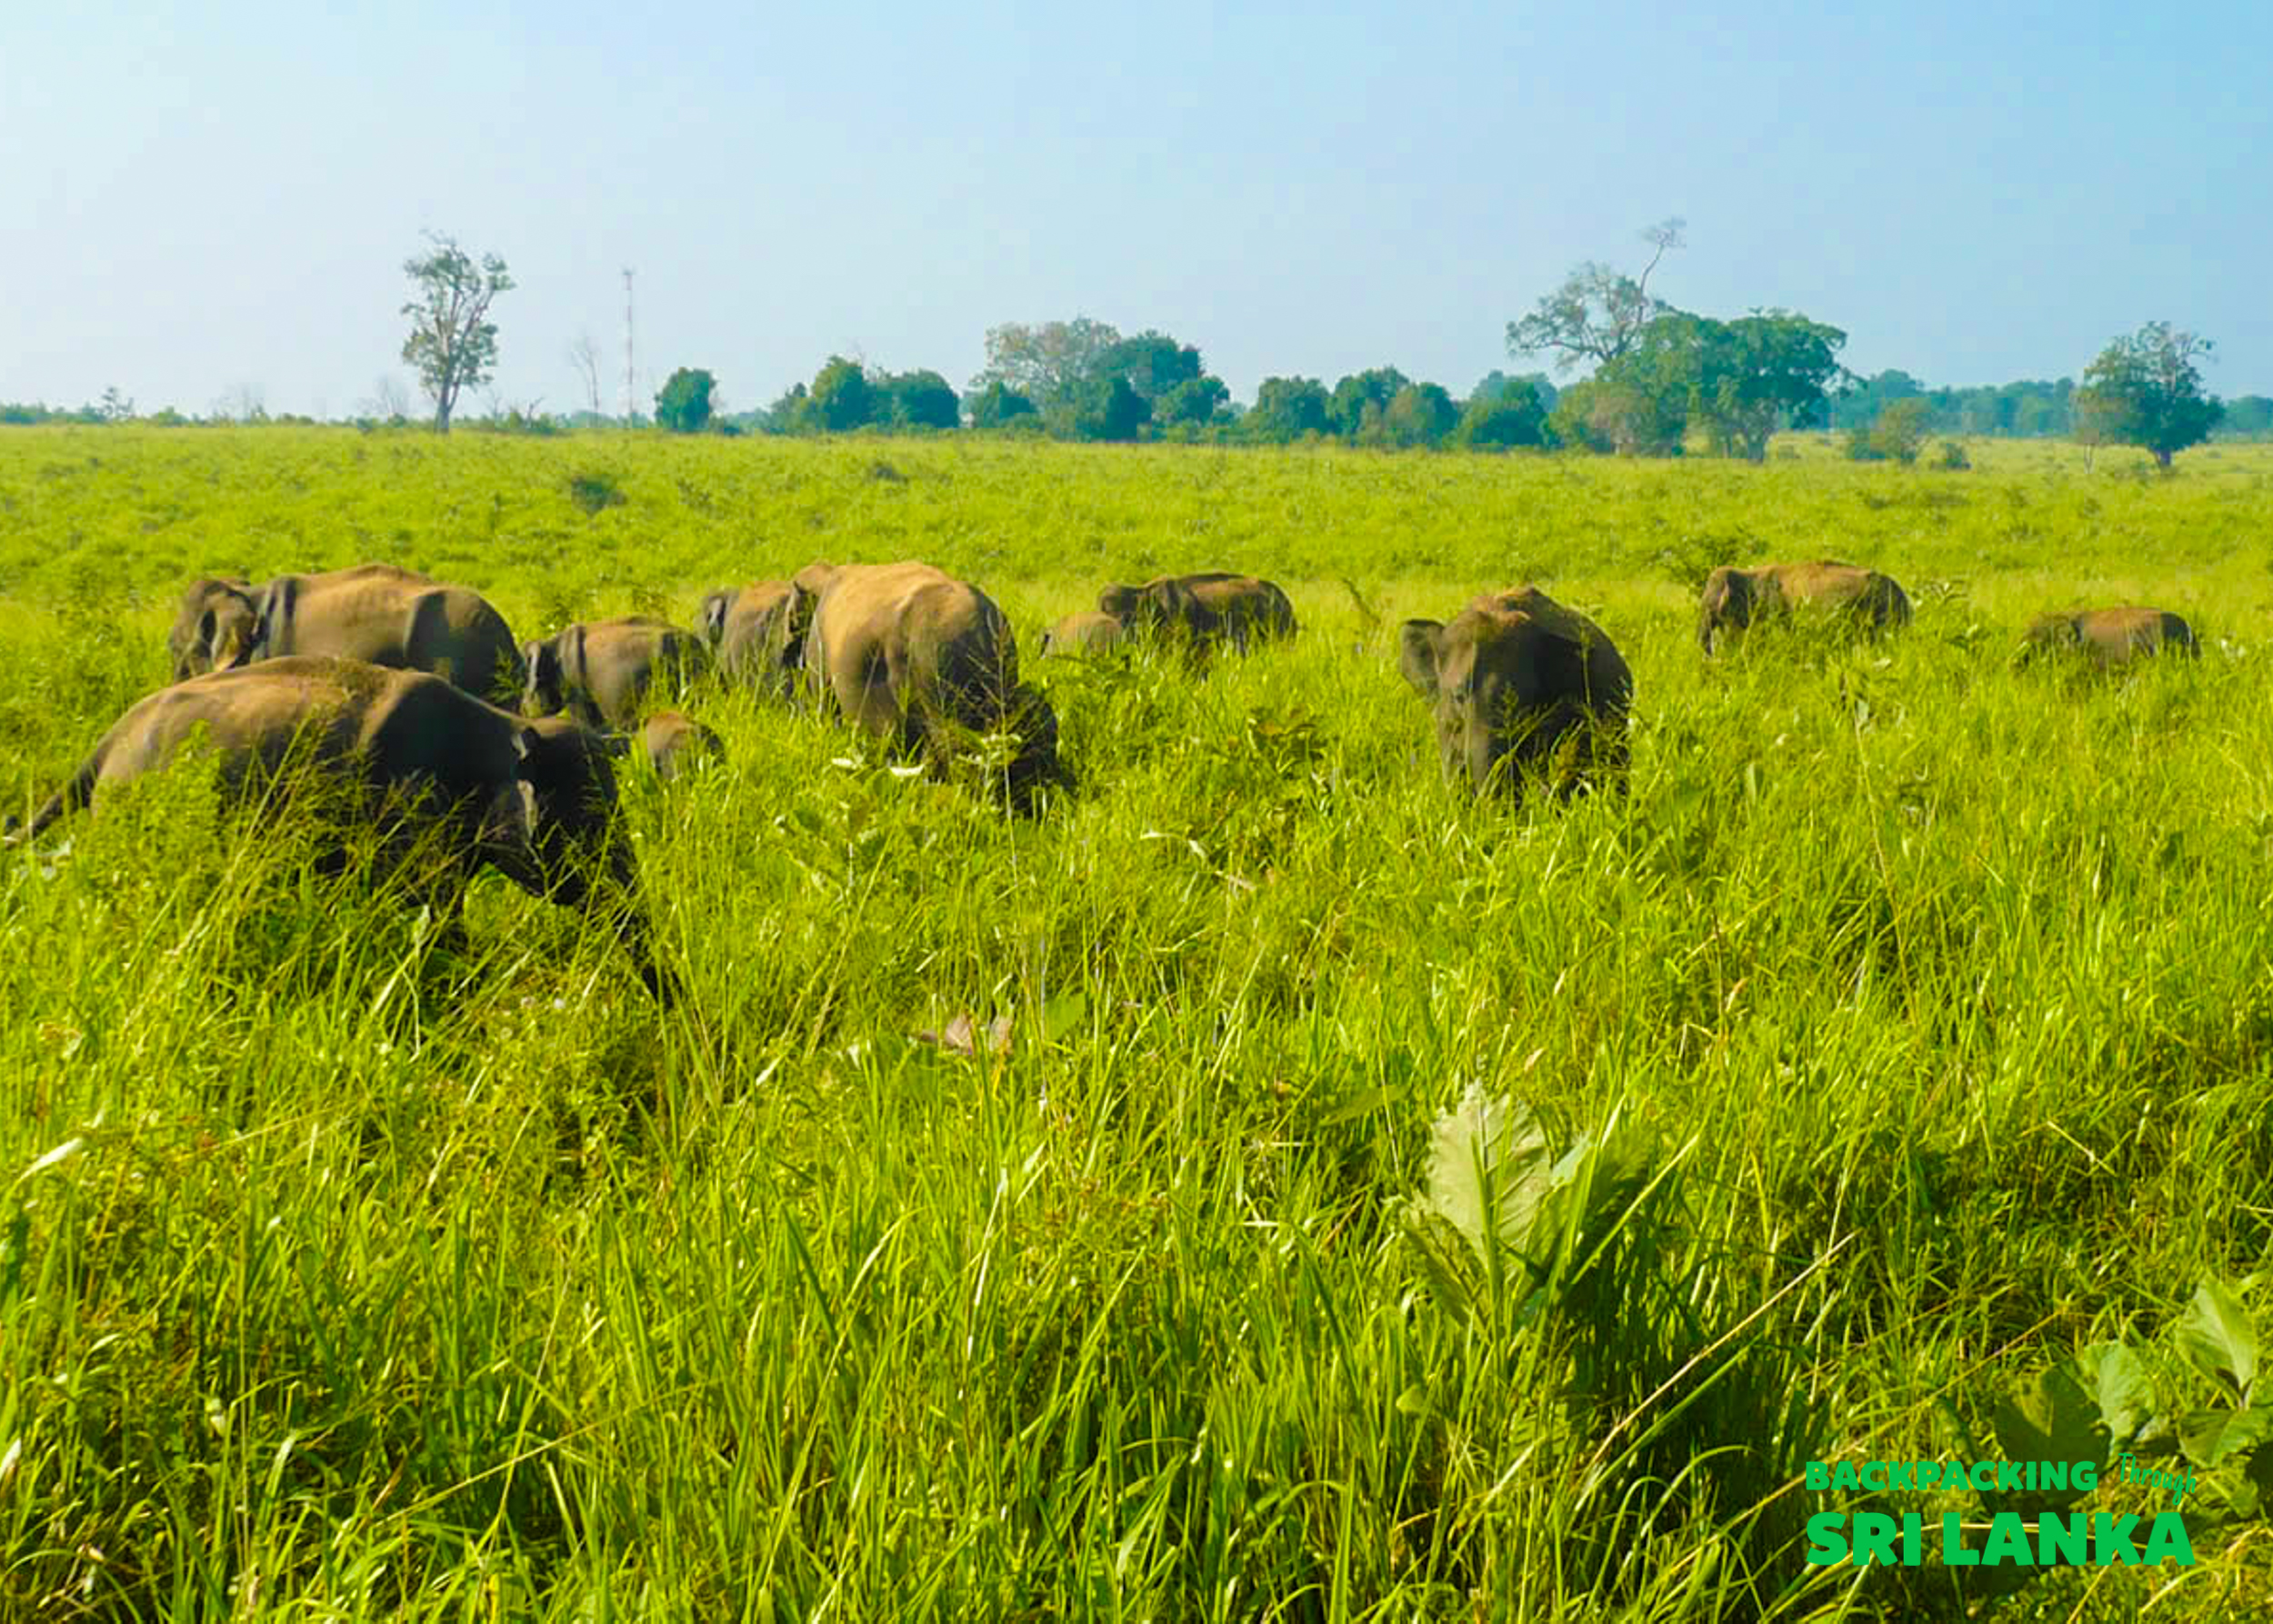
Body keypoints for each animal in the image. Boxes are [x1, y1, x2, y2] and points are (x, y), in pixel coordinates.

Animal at [7, 657, 673, 1001]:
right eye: (590, 825)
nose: (674, 1006)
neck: (499, 725)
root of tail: (101, 749)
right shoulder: (404, 810)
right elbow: (434, 921)